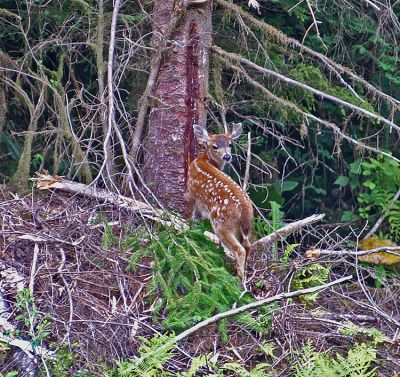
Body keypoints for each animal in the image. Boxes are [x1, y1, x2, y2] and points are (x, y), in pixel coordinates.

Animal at [188, 122, 253, 284]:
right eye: (215, 146)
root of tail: (245, 208)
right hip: (245, 226)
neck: (203, 160)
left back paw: (239, 279)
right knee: (248, 245)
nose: (227, 156)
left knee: (239, 249)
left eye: (230, 144)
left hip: (222, 223)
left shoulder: (192, 194)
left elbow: (193, 215)